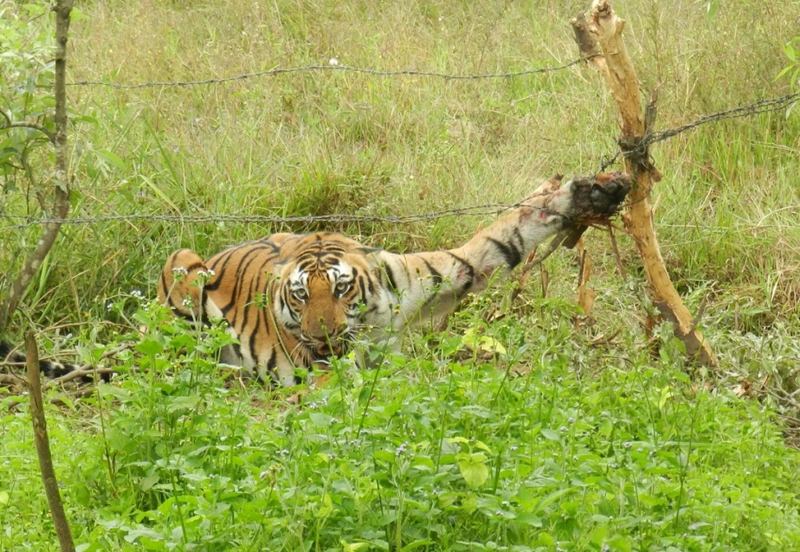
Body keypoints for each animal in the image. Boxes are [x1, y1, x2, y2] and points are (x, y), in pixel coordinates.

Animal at [158, 175, 632, 386]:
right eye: (300, 296)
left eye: (341, 288)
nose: (323, 337)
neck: (371, 319)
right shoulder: (328, 375)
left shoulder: (448, 271)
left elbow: (505, 235)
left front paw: (588, 193)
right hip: (180, 268)